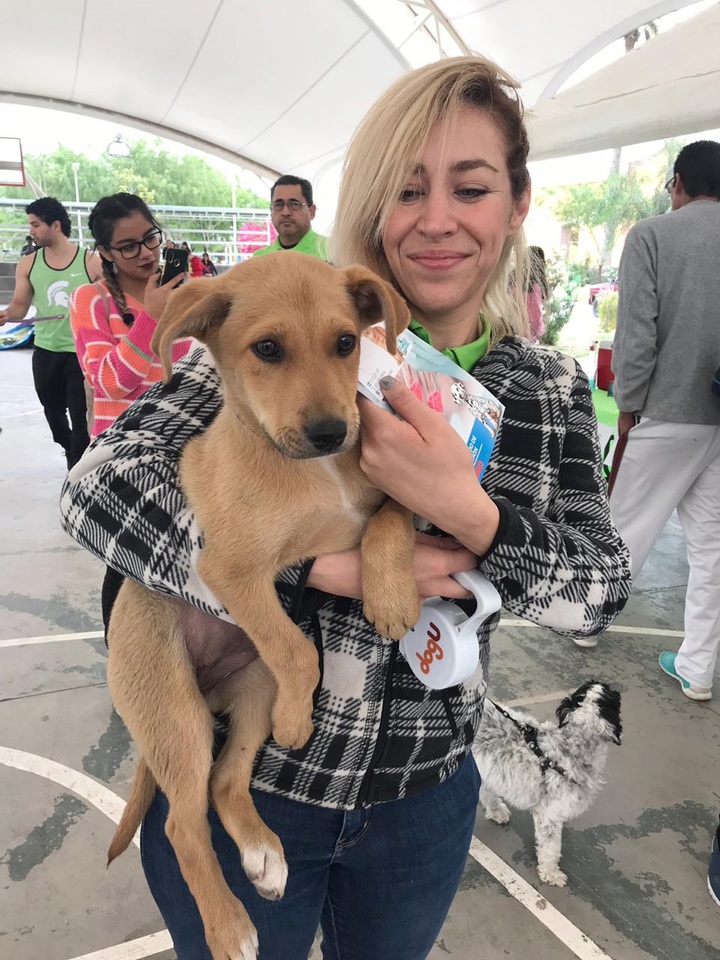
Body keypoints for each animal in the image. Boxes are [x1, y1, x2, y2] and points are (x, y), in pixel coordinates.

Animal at [107, 253, 422, 960]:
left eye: (345, 342)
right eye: (268, 350)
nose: (332, 431)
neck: (316, 472)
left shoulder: (375, 504)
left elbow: (393, 519)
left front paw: (393, 597)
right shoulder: (232, 572)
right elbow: (297, 647)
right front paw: (300, 724)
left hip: (251, 687)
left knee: (226, 782)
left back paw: (263, 856)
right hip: (178, 715)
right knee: (181, 825)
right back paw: (229, 926)